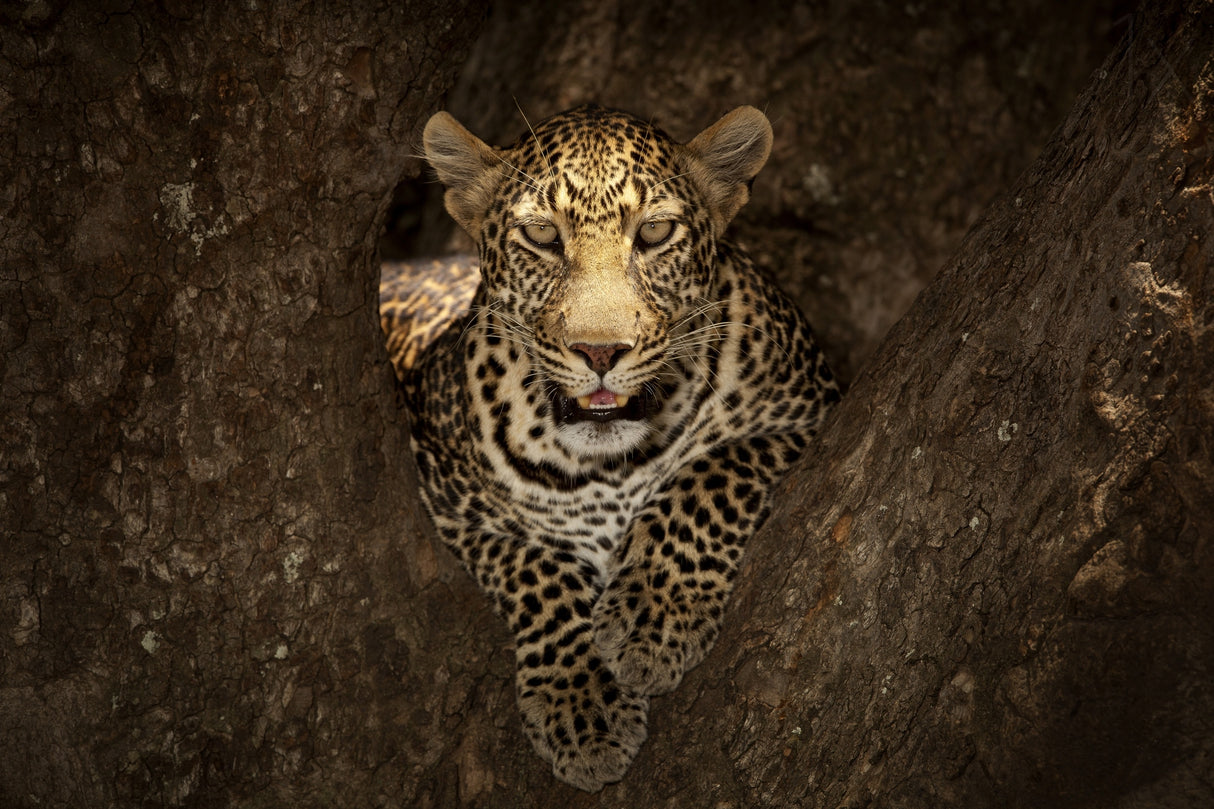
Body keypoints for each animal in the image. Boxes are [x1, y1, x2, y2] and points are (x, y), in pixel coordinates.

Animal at [383, 103, 840, 791]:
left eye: (654, 232)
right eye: (542, 237)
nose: (600, 352)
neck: (609, 466)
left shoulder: (811, 411)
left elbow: (709, 474)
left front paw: (654, 615)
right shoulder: (448, 501)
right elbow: (536, 568)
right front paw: (583, 705)